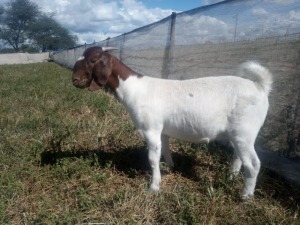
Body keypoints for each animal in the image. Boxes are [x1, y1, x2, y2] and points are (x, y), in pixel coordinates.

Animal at [72, 45, 272, 199]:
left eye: (93, 60)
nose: (75, 80)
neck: (134, 88)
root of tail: (260, 87)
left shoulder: (150, 128)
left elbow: (152, 158)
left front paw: (153, 187)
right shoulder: (163, 130)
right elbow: (165, 149)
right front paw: (170, 166)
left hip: (245, 131)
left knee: (253, 164)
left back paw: (246, 196)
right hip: (239, 134)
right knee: (239, 157)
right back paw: (230, 177)